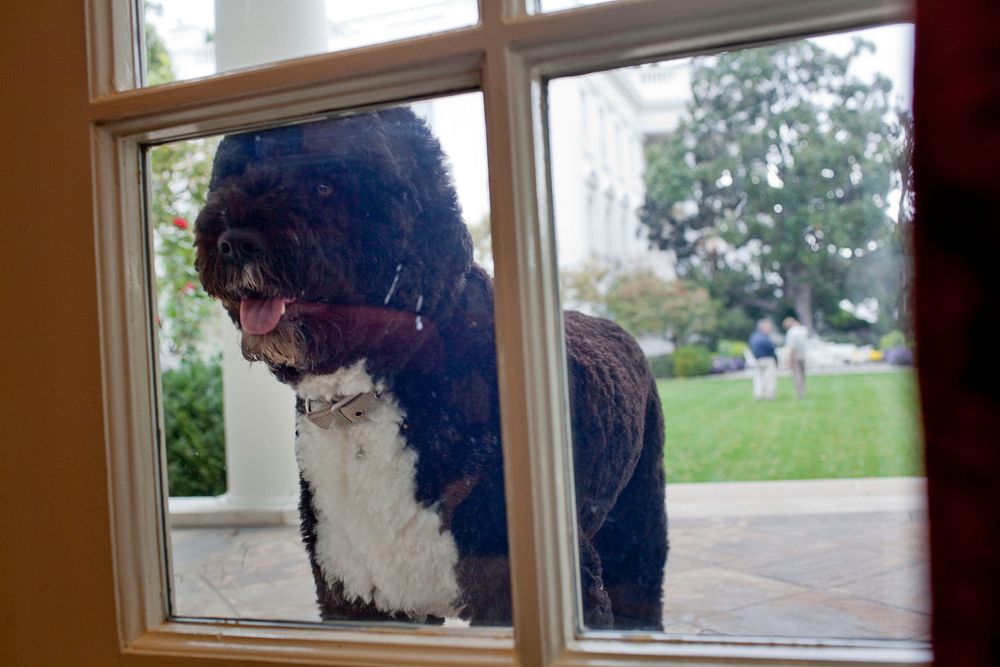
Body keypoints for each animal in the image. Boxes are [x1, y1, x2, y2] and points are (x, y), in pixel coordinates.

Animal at [192, 107, 668, 628]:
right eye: (233, 174)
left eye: (324, 185)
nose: (233, 242)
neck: (370, 394)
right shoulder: (358, 594)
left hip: (636, 524)